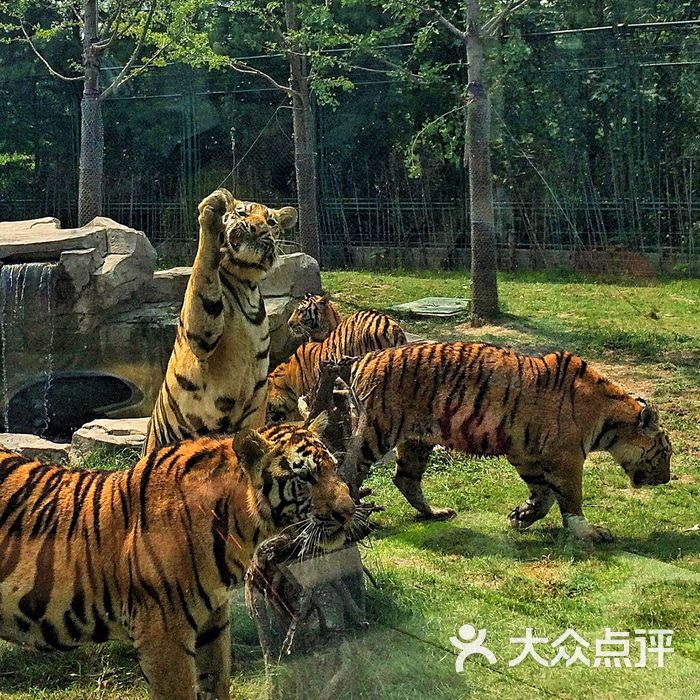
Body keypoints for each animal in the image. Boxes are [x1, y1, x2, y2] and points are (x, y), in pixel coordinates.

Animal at [0, 412, 352, 700]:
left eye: (334, 468)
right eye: (305, 477)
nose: (349, 511)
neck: (239, 529)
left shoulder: (213, 623)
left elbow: (216, 684)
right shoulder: (163, 632)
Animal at [144, 187, 296, 454]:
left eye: (271, 222)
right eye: (242, 213)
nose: (258, 229)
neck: (245, 283)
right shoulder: (199, 343)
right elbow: (203, 270)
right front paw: (214, 205)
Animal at [266, 340, 668, 540]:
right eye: (665, 452)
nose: (666, 479)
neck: (609, 418)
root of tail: (360, 358)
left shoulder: (526, 454)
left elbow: (544, 495)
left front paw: (521, 516)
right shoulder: (565, 459)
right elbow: (569, 498)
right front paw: (589, 532)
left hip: (416, 440)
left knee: (404, 478)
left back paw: (434, 513)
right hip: (376, 431)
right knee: (350, 472)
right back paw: (354, 521)